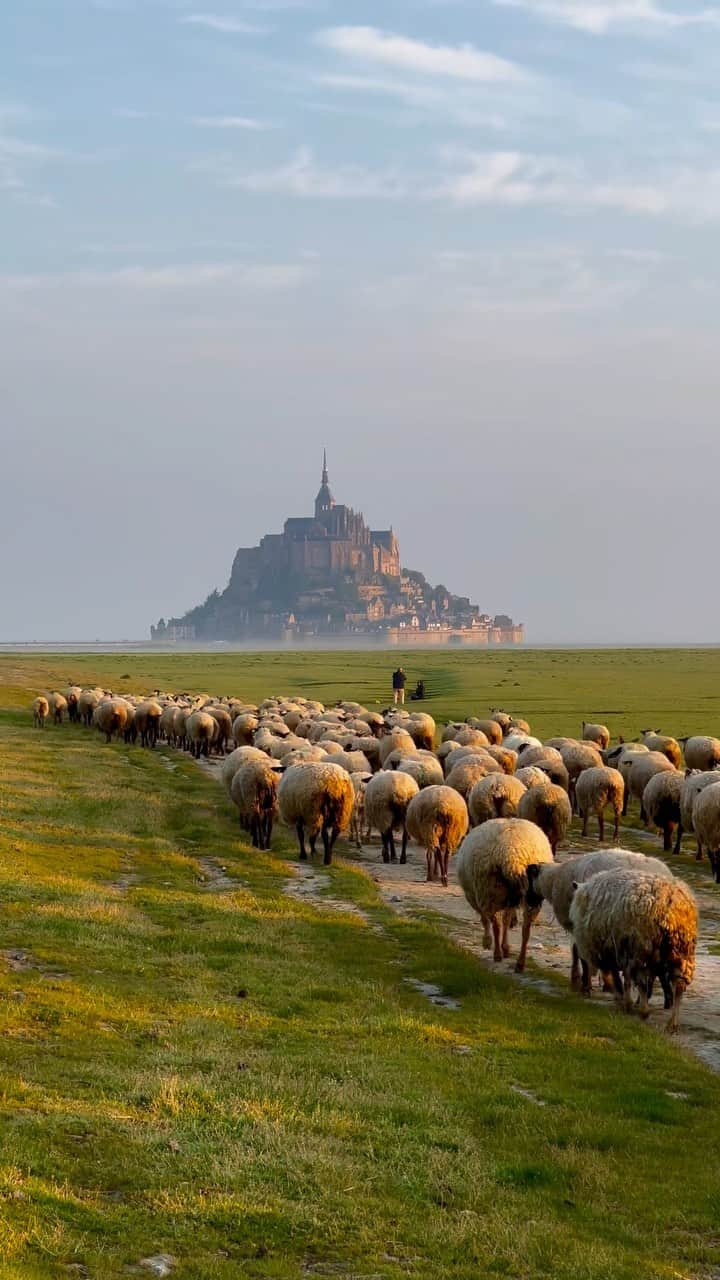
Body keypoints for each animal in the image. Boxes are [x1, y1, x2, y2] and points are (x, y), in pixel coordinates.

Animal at [456, 819, 550, 967]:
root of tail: (513, 855)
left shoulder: (474, 895)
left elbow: (485, 919)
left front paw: (487, 942)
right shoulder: (509, 898)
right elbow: (507, 919)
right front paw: (506, 947)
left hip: (491, 889)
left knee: (496, 924)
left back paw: (497, 954)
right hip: (530, 894)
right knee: (526, 927)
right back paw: (520, 963)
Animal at [520, 849, 671, 988]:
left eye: (529, 878)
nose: (528, 901)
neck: (554, 880)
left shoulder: (579, 923)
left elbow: (577, 952)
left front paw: (581, 981)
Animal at [566, 865, 696, 1034]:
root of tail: (669, 904)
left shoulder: (607, 950)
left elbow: (613, 976)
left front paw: (622, 1000)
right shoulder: (619, 948)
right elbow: (623, 977)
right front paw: (624, 1000)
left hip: (641, 947)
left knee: (642, 981)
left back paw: (644, 1011)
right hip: (682, 952)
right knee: (678, 985)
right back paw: (672, 1023)